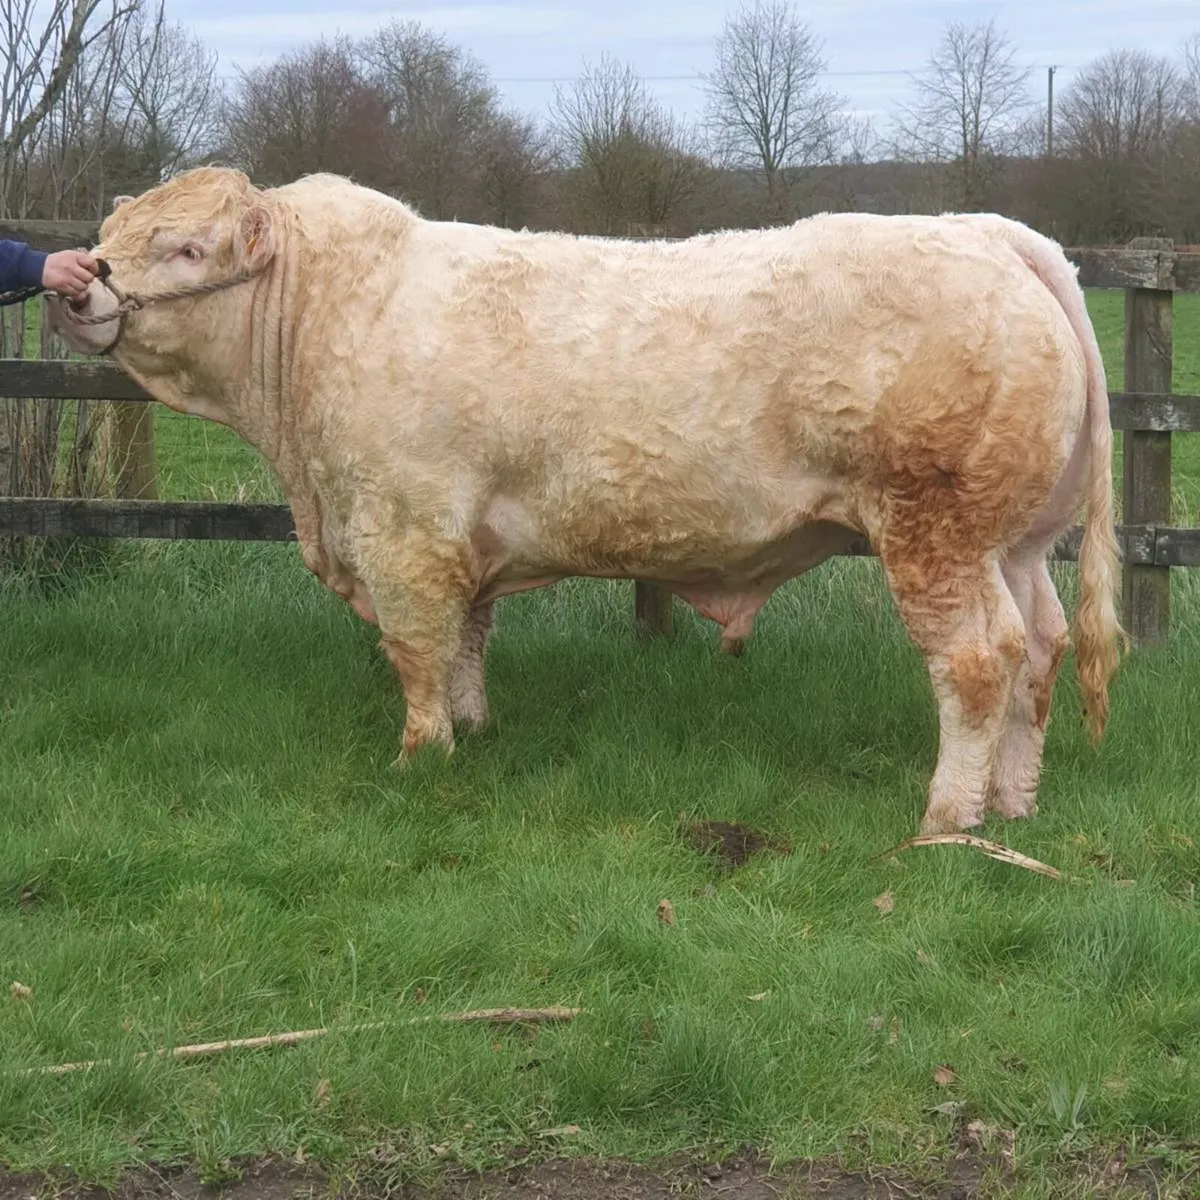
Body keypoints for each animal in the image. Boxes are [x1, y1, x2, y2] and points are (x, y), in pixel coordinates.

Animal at [48, 167, 1124, 835]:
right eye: (107, 237)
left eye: (188, 250)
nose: (75, 285)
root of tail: (991, 234)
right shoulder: (458, 539)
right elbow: (467, 640)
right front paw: (474, 732)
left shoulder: (403, 530)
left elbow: (417, 649)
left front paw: (419, 757)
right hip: (1015, 542)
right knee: (1041, 648)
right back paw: (1012, 802)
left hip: (934, 532)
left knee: (980, 662)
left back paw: (947, 817)